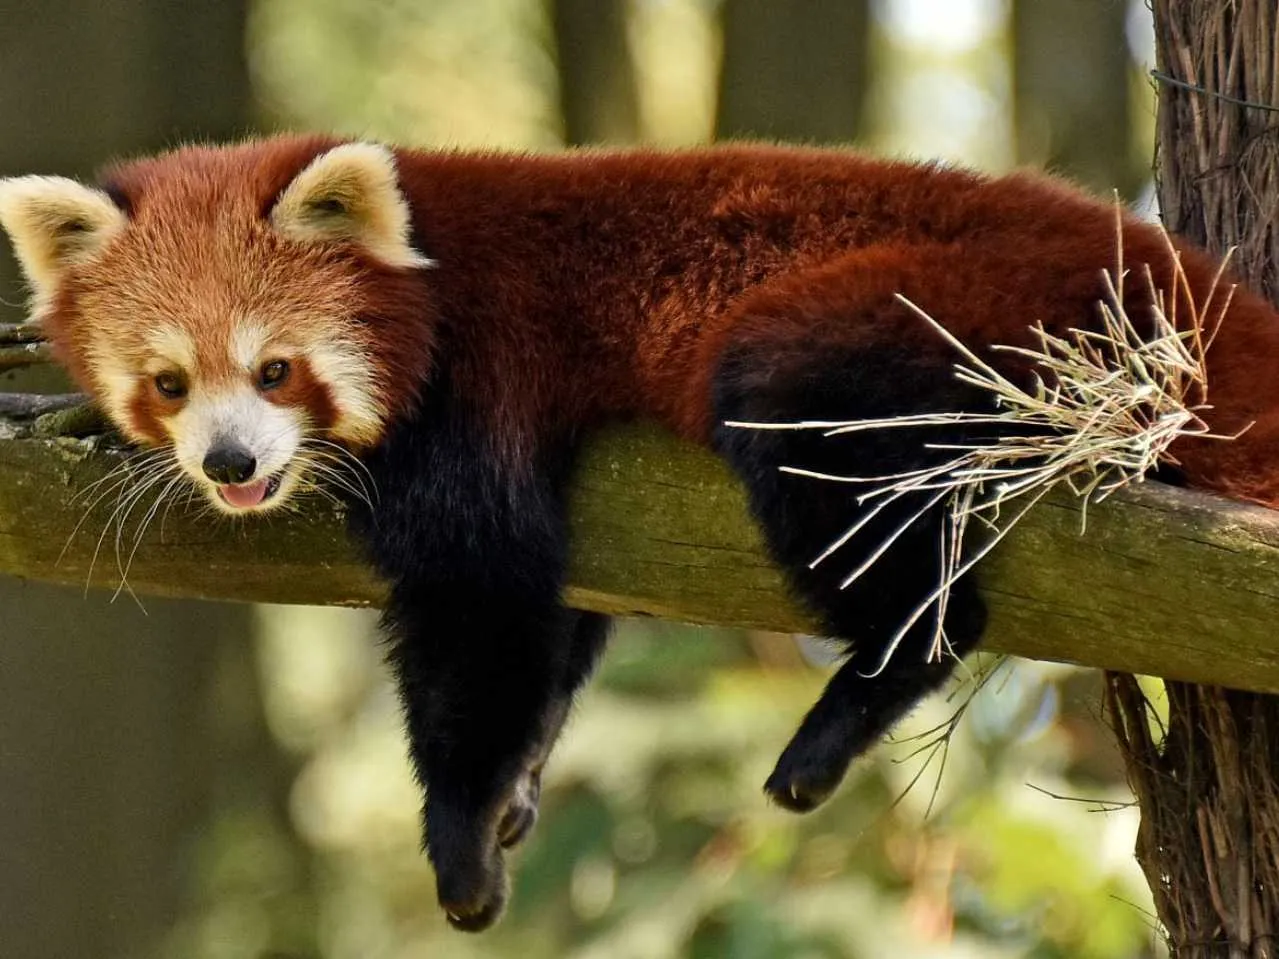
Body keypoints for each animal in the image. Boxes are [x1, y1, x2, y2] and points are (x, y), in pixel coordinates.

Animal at [2, 135, 1279, 930]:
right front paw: (515, 789)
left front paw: (460, 833)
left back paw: (851, 705)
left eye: (274, 369)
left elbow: (483, 607)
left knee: (843, 477)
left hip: (927, 310)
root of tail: (1194, 281)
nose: (230, 463)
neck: (432, 269)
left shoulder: (480, 379)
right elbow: (559, 623)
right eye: (169, 382)